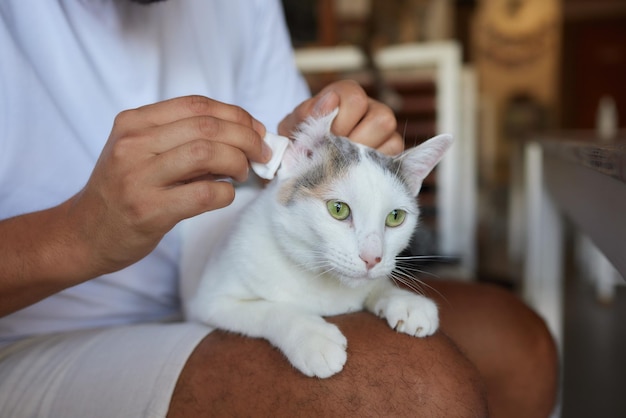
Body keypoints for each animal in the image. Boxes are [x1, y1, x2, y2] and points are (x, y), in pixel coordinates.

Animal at [183, 109, 450, 378]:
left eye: (395, 217)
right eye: (338, 209)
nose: (372, 258)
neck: (320, 279)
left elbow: (376, 286)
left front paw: (404, 300)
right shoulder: (210, 302)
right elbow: (269, 309)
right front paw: (311, 336)